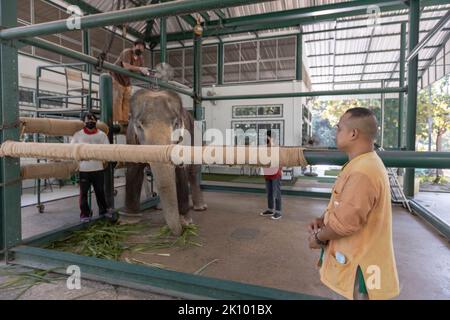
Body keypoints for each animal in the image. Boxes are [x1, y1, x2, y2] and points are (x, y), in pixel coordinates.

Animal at [123, 89, 207, 236]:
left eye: (176, 124)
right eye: (139, 125)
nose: (181, 231)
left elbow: (180, 173)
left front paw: (186, 221)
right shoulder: (131, 138)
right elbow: (133, 170)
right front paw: (128, 221)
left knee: (192, 172)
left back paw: (199, 208)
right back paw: (161, 208)